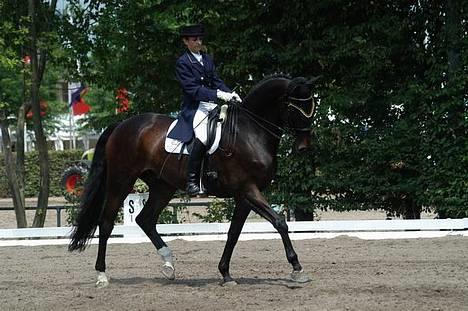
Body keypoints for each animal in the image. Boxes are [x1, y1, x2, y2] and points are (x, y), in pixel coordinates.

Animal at [68, 74, 318, 288]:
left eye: (312, 106)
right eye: (294, 107)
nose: (304, 146)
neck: (250, 132)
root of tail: (121, 125)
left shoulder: (244, 195)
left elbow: (234, 233)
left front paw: (225, 274)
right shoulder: (248, 189)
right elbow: (280, 222)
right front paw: (297, 269)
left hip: (163, 186)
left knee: (145, 219)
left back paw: (169, 265)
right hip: (121, 180)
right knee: (106, 223)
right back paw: (102, 275)